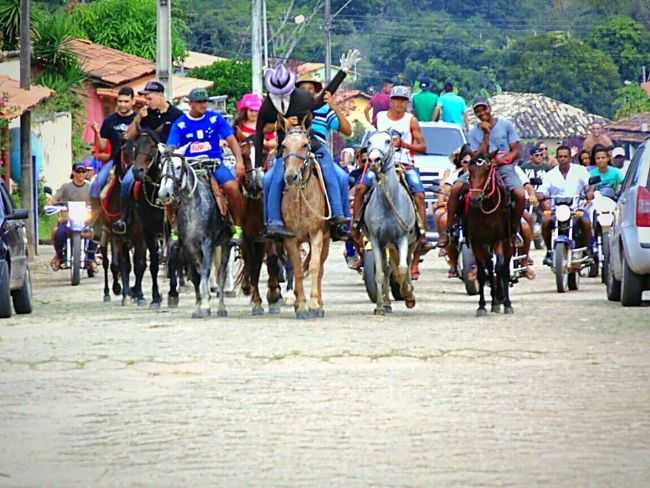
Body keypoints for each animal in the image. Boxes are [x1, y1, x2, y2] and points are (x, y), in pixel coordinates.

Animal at [158, 147, 233, 318]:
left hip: (225, 244)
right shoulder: (188, 246)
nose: (164, 194)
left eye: (178, 166)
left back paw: (222, 307)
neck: (192, 206)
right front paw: (199, 306)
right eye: (161, 166)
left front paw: (206, 305)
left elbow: (205, 272)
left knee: (222, 274)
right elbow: (195, 275)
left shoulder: (207, 243)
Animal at [235, 136, 280, 316]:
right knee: (250, 261)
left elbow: (273, 260)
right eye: (244, 155)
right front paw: (256, 302)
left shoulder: (269, 235)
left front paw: (273, 295)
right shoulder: (247, 237)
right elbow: (253, 265)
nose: (254, 186)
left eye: (263, 153)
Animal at [278, 122, 330, 320]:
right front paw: (300, 306)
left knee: (320, 268)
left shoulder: (316, 234)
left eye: (305, 145)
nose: (291, 176)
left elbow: (314, 267)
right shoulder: (290, 239)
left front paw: (314, 305)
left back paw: (320, 304)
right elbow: (297, 268)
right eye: (284, 145)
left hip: (326, 239)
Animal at [360, 130, 416, 314]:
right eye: (369, 142)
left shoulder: (402, 238)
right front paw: (379, 306)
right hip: (387, 244)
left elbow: (403, 269)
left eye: (388, 141)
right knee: (386, 268)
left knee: (407, 264)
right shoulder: (376, 240)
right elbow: (380, 273)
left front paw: (408, 296)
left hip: (410, 243)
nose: (374, 161)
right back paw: (387, 303)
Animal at [466, 154, 512, 318]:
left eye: (486, 171)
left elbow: (500, 268)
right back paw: (494, 299)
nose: (475, 199)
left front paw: (504, 302)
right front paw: (482, 306)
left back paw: (502, 300)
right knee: (489, 265)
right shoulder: (476, 242)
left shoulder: (499, 239)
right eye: (470, 172)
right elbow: (481, 272)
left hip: (508, 243)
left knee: (503, 267)